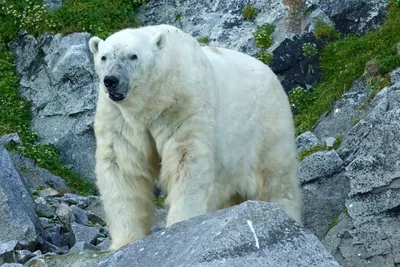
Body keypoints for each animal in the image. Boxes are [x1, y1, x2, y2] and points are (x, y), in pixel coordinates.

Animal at [87, 24, 300, 250]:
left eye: (133, 56)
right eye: (104, 57)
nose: (111, 80)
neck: (152, 100)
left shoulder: (183, 103)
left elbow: (187, 158)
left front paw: (180, 224)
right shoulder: (119, 118)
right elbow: (121, 166)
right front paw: (125, 241)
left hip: (267, 126)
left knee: (276, 179)